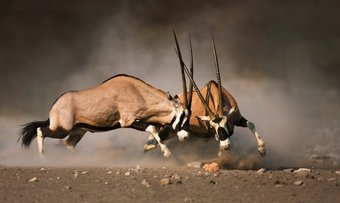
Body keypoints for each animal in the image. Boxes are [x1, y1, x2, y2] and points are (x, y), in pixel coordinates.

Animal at [18, 73, 191, 158]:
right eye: (182, 115)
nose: (186, 136)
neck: (138, 92)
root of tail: (55, 105)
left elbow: (155, 129)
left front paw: (150, 146)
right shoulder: (128, 121)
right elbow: (152, 129)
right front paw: (167, 152)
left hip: (78, 131)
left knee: (69, 144)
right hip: (61, 129)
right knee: (41, 130)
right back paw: (43, 158)